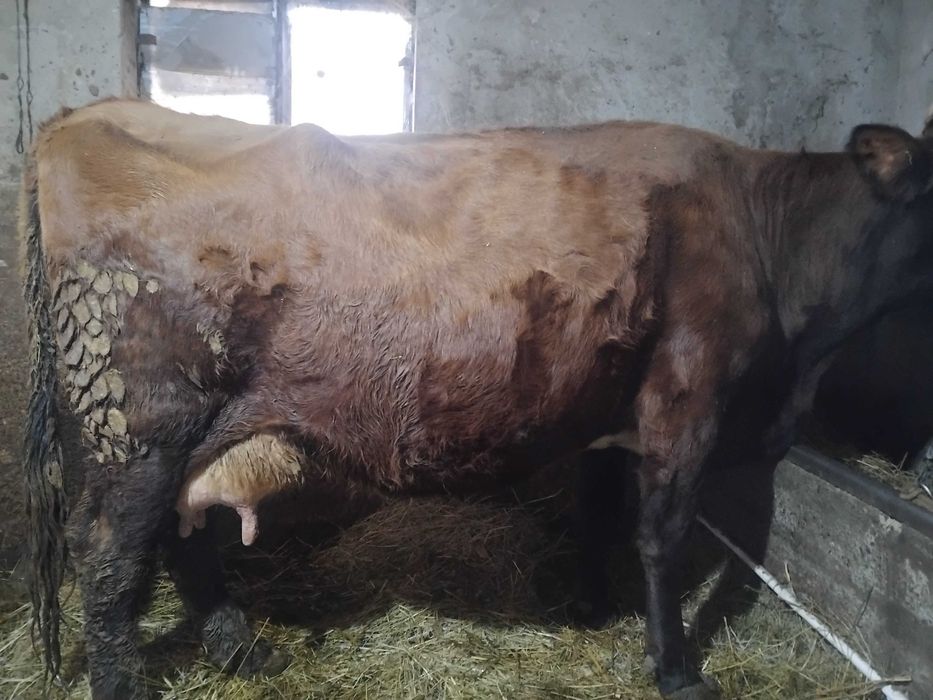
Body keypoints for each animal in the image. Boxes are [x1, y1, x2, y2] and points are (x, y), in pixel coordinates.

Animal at [20, 98, 933, 700]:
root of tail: (82, 114)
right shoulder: (688, 400)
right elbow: (661, 536)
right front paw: (675, 669)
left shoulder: (607, 413)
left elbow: (598, 515)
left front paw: (590, 609)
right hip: (135, 430)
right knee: (111, 563)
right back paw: (133, 686)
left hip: (181, 435)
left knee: (186, 546)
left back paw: (245, 654)